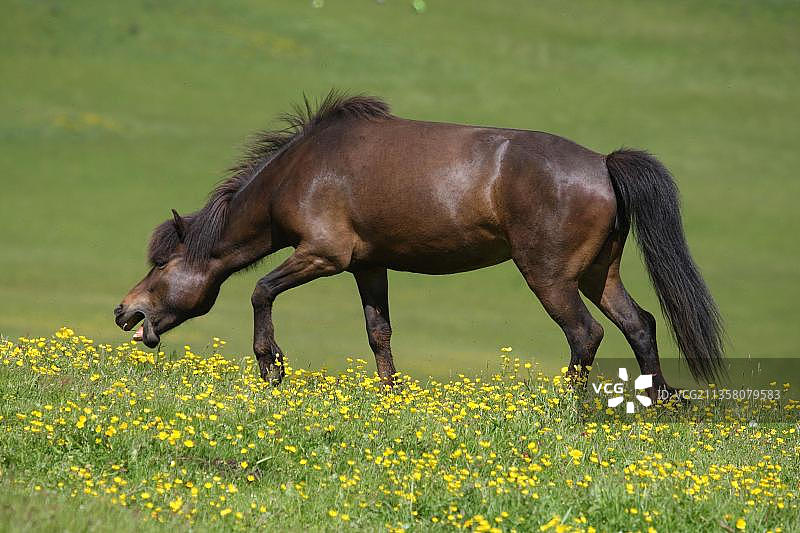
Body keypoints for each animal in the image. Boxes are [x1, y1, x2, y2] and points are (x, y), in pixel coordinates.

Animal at [114, 91, 724, 394]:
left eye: (161, 262)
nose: (124, 311)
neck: (302, 170)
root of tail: (603, 164)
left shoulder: (323, 255)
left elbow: (261, 291)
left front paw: (272, 368)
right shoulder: (367, 266)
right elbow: (378, 334)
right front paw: (390, 397)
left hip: (550, 277)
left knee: (586, 334)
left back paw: (564, 410)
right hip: (600, 274)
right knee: (639, 325)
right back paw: (657, 403)